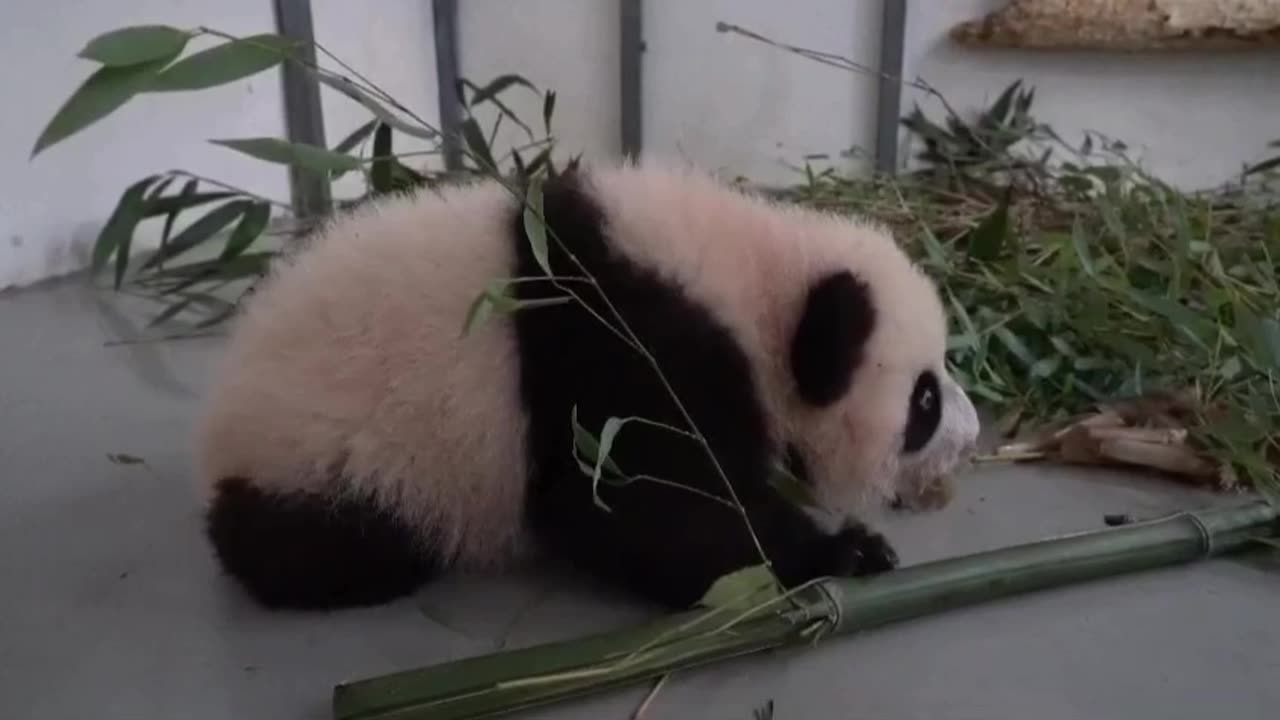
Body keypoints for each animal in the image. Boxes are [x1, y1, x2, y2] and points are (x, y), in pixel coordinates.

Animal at [197, 159, 977, 607]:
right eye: (923, 401)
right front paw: (844, 551)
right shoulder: (629, 349)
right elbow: (631, 506)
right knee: (320, 545)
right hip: (333, 457)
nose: (971, 437)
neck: (757, 286)